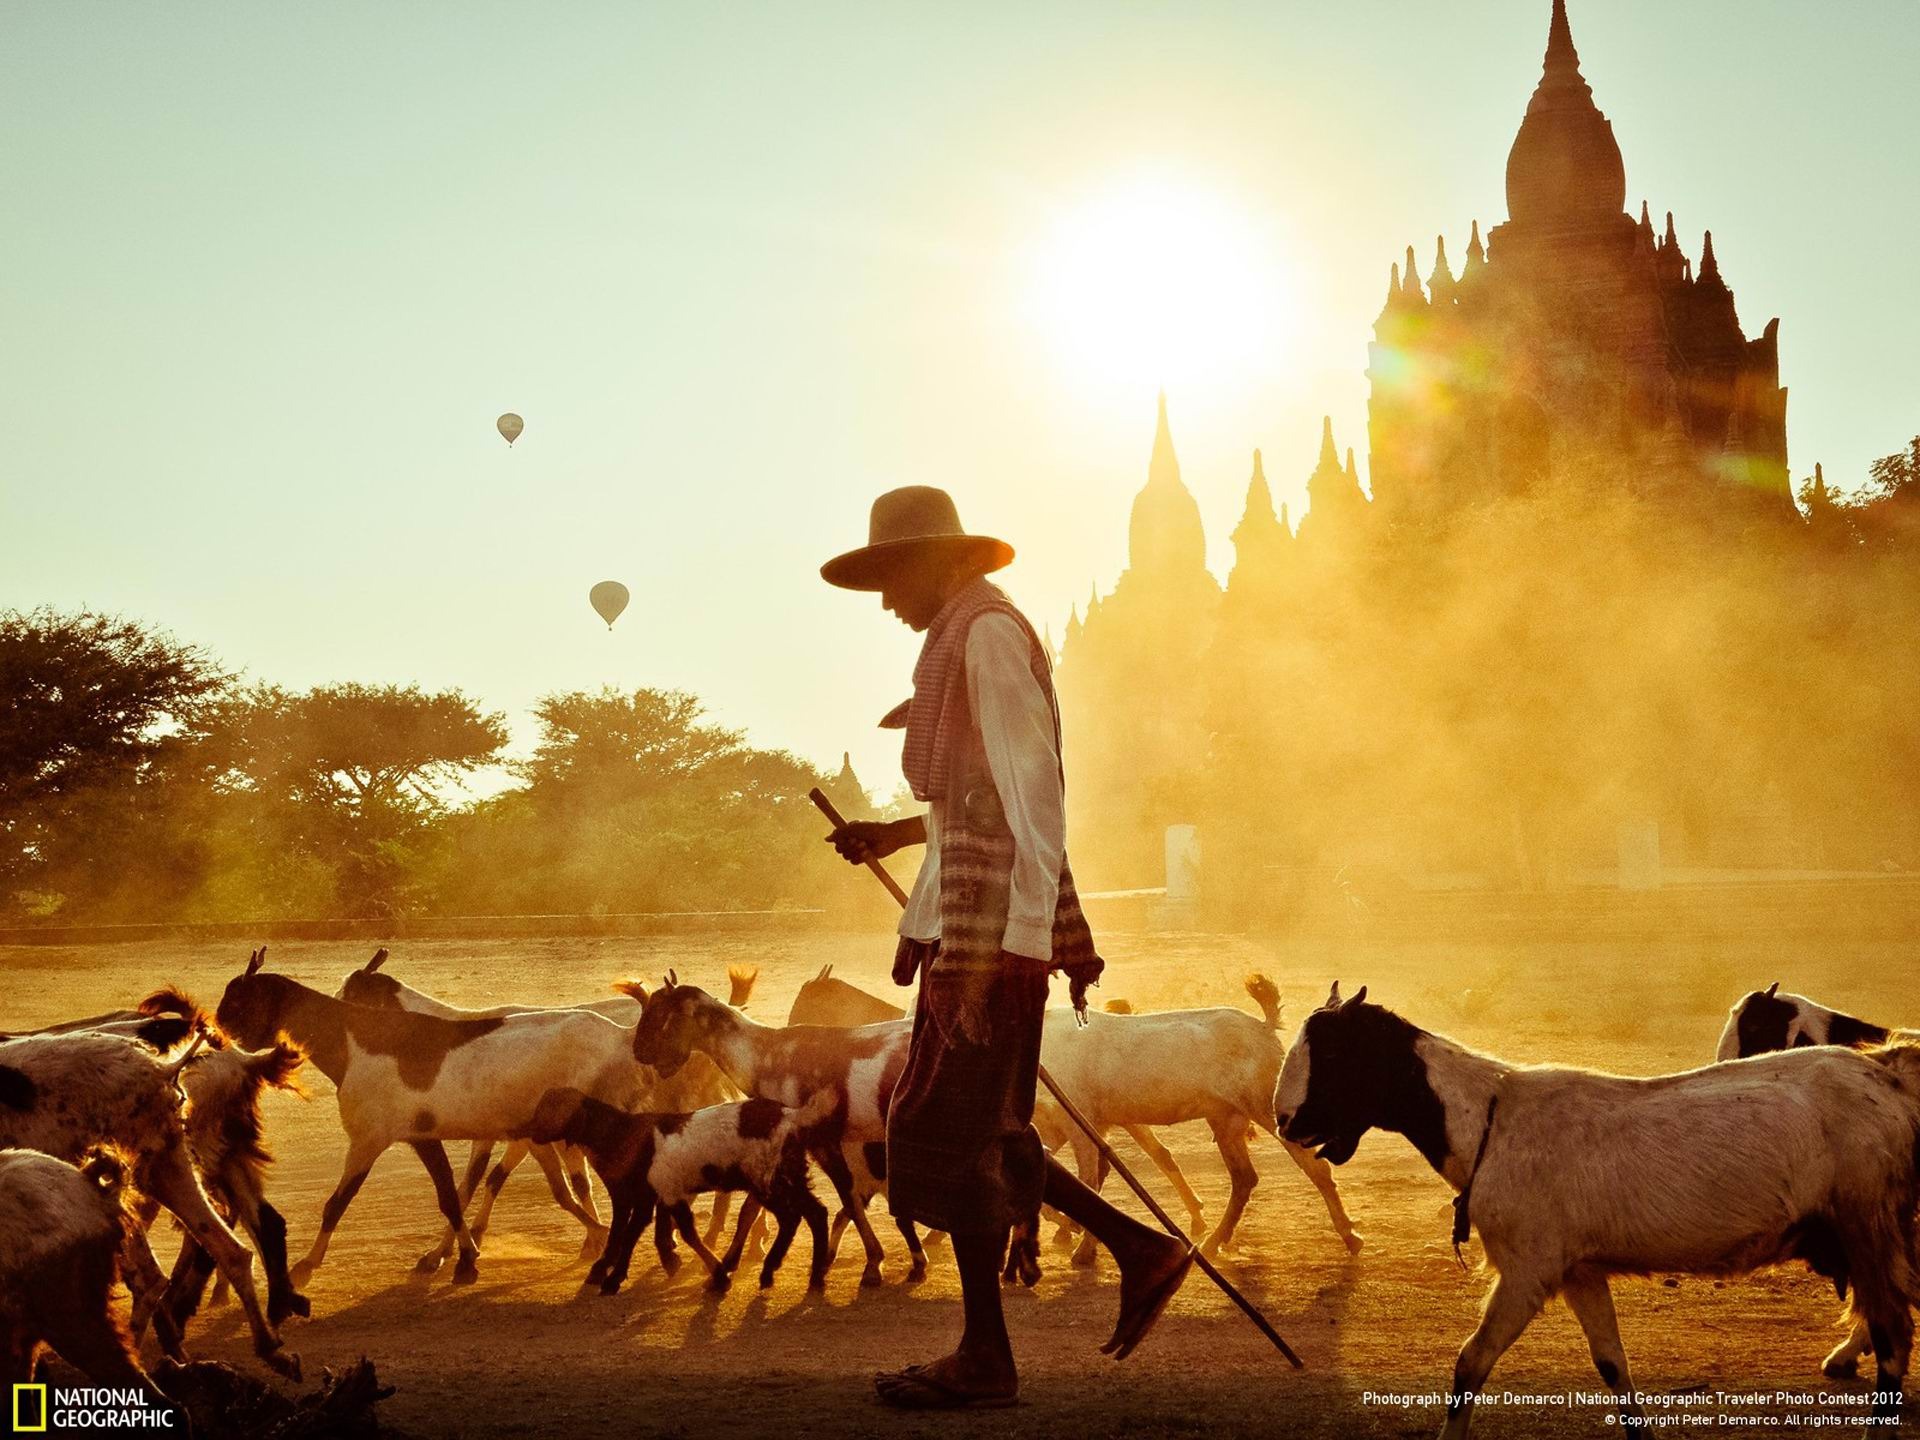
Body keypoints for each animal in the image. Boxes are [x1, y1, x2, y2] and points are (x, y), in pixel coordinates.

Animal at [526, 1090, 833, 1305]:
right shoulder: (651, 1195)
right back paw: (806, 1276)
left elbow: (666, 1232)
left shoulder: (659, 1193)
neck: (620, 1134)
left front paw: (718, 1277)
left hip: (769, 1178)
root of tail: (791, 1116)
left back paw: (787, 1272)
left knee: (796, 1216)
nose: (527, 1131)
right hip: (786, 1177)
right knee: (813, 1213)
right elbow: (638, 1232)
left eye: (549, 1107)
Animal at [622, 975, 906, 1290]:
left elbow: (847, 1196)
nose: (638, 1051)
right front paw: (731, 1262)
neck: (767, 1056)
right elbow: (751, 1210)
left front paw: (872, 1262)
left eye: (659, 1011)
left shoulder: (812, 1143)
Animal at [1274, 990, 1920, 1436]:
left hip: (1866, 1225)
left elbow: (1469, 1365)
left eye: (1335, 1052)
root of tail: (1888, 1077)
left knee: (1894, 1338)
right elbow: (1613, 1366)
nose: (1284, 1121)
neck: (1490, 1120)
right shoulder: (1579, 1270)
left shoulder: (1529, 1271)